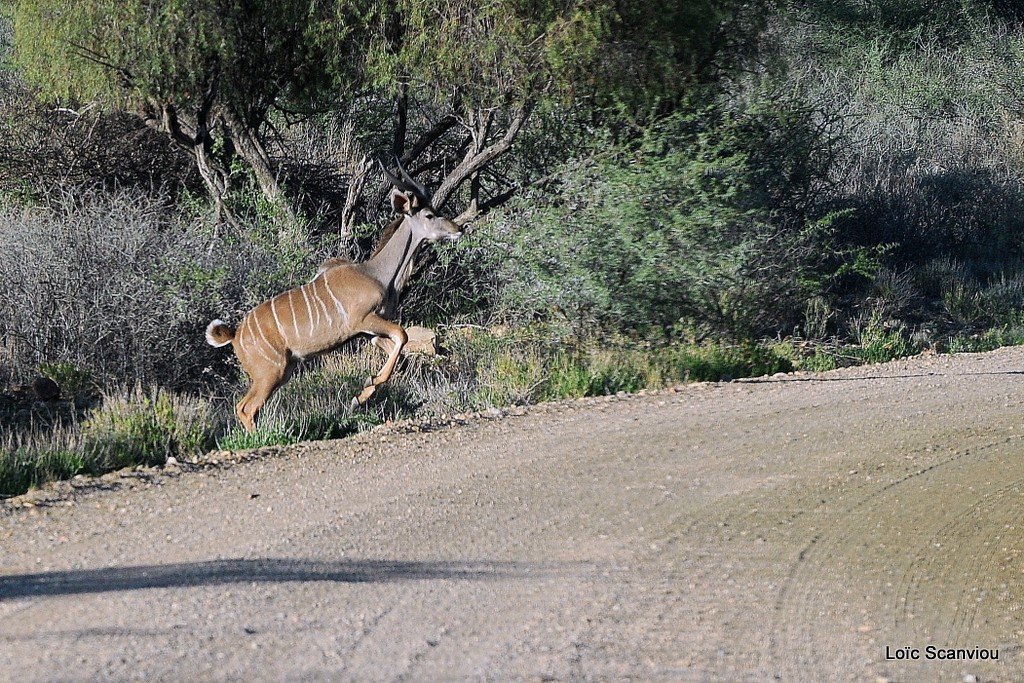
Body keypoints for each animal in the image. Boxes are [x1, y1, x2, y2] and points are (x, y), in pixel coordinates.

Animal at [203, 160, 460, 430]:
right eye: (429, 215)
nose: (459, 228)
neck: (376, 273)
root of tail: (235, 334)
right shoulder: (363, 320)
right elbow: (402, 335)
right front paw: (360, 396)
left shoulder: (369, 332)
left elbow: (396, 352)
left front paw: (363, 392)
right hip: (270, 373)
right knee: (245, 408)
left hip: (284, 371)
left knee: (249, 408)